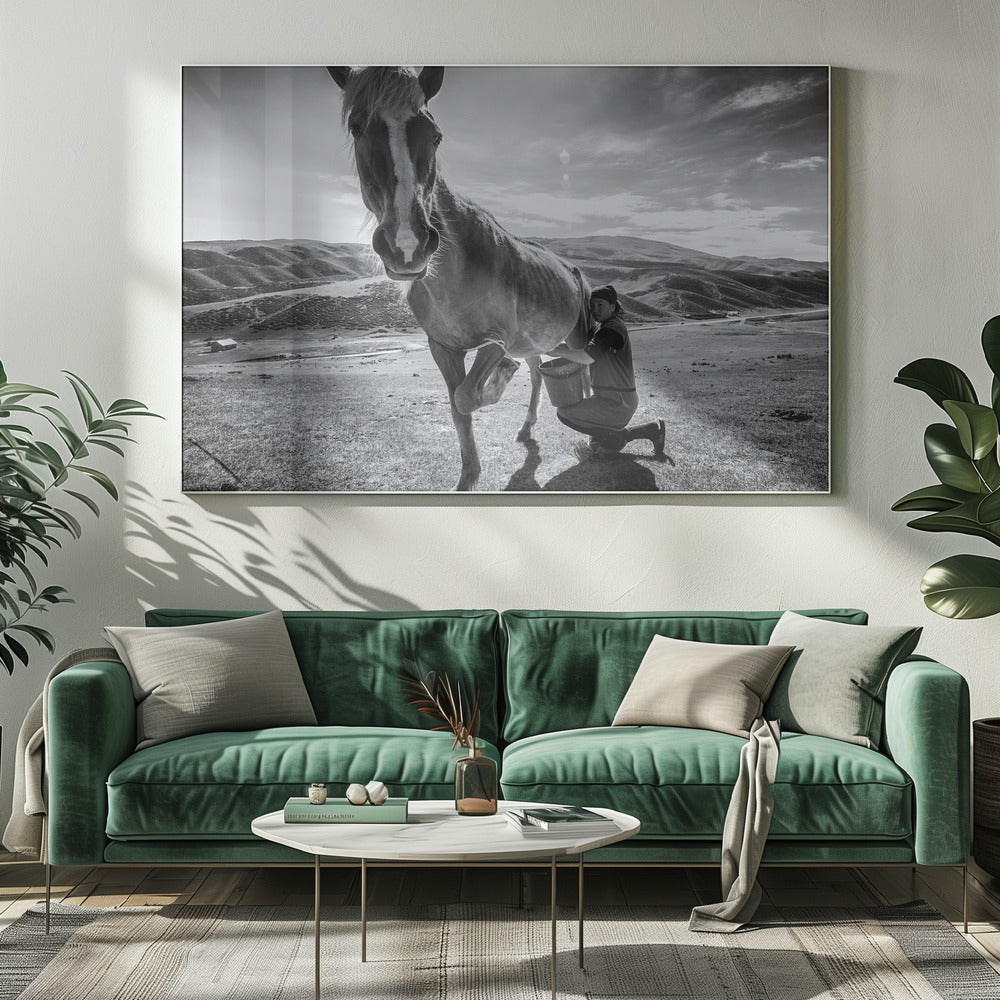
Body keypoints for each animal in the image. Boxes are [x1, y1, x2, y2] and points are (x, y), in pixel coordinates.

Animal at [327, 66, 592, 491]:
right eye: (356, 127)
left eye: (435, 135)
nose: (407, 244)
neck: (454, 275)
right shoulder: (442, 347)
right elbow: (457, 405)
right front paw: (468, 476)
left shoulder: (497, 340)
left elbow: (469, 396)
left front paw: (500, 379)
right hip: (535, 343)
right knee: (539, 374)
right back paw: (527, 425)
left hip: (578, 335)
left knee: (588, 365)